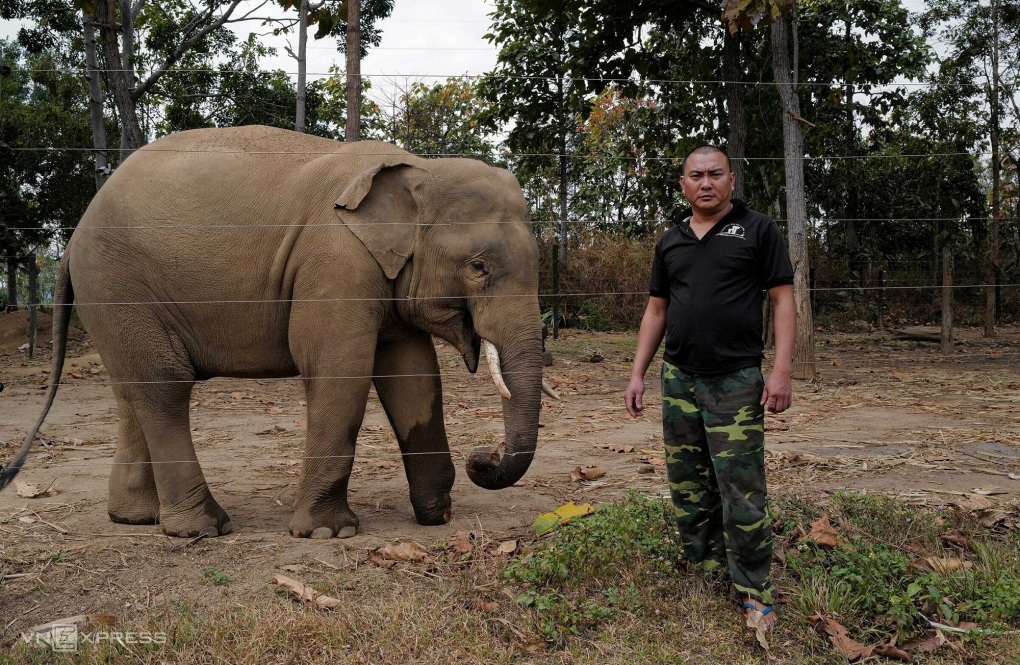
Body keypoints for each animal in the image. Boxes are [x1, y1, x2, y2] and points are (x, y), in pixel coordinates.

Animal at [0, 125, 557, 539]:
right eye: (478, 267)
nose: (483, 458)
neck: (419, 168)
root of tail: (73, 236)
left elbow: (412, 376)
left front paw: (435, 515)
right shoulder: (334, 262)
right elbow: (338, 369)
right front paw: (329, 533)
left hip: (112, 299)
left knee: (130, 390)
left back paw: (136, 519)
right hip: (119, 283)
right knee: (164, 385)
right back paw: (203, 529)